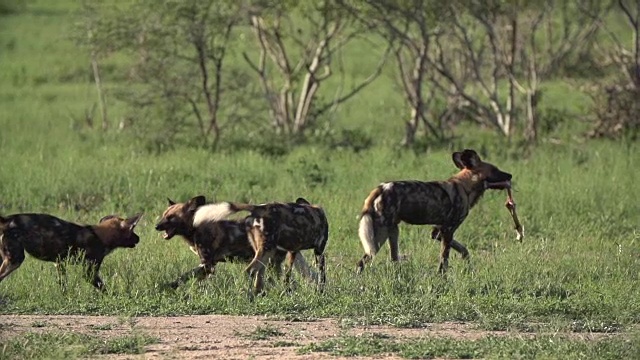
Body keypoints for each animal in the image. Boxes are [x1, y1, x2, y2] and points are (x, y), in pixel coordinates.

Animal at [0, 212, 142, 292]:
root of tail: (7, 219)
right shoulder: (89, 272)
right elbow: (104, 289)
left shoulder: (59, 263)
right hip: (15, 260)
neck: (100, 236)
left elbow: (63, 286)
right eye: (132, 231)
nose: (139, 238)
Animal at [153, 195, 318, 288]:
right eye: (164, 215)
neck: (195, 226)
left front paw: (168, 287)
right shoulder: (208, 266)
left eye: (171, 218)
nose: (156, 226)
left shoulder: (207, 265)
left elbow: (185, 277)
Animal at [358, 148, 512, 272]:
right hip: (380, 236)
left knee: (388, 260)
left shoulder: (438, 232)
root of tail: (380, 188)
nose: (510, 175)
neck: (466, 186)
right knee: (363, 261)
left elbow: (464, 250)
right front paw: (443, 279)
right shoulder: (448, 230)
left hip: (392, 232)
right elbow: (444, 262)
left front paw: (467, 264)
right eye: (495, 170)